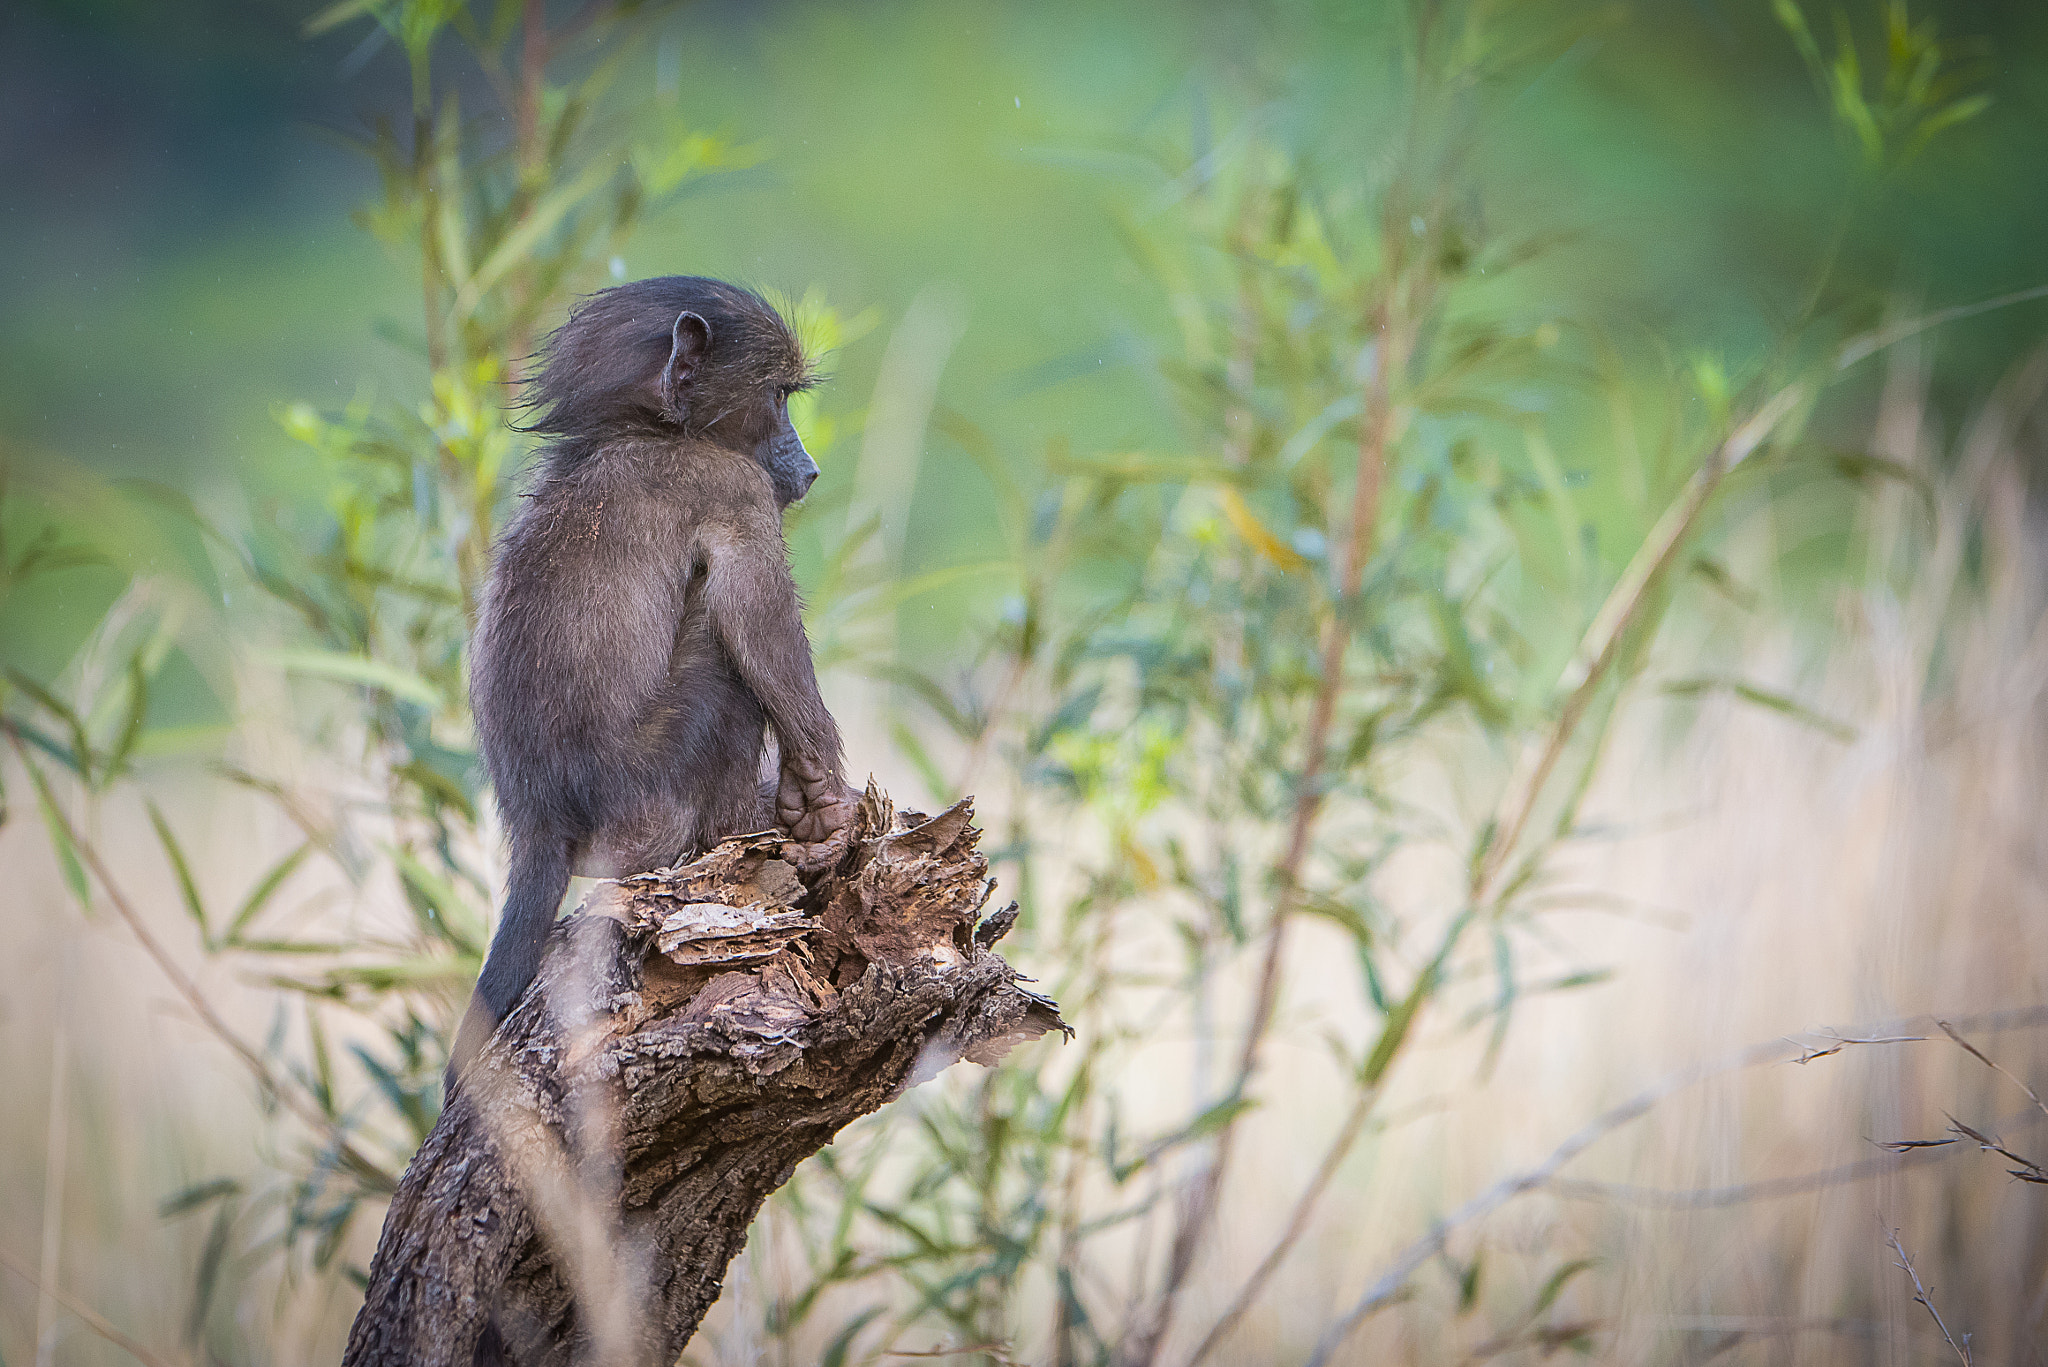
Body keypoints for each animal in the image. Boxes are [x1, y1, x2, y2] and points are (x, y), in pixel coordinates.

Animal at [446, 276, 855, 1089]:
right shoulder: (730, 485)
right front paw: (821, 796)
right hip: (645, 806)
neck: (645, 431)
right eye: (778, 397)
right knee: (724, 671)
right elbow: (754, 610)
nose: (810, 468)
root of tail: (540, 825)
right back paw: (746, 830)